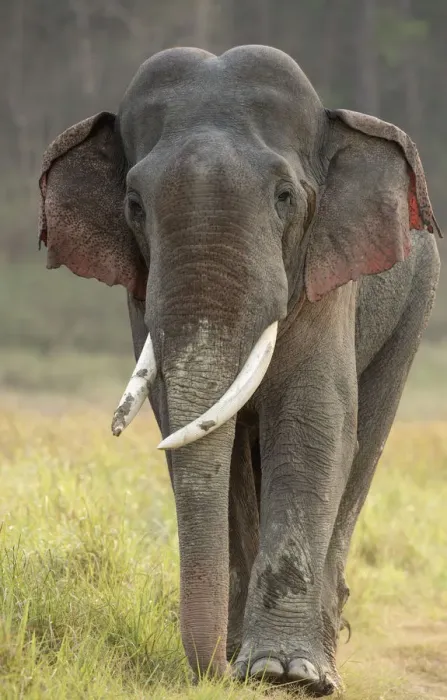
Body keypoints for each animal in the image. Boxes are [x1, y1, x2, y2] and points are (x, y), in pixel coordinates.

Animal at [38, 46, 441, 696]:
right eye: (134, 206)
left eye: (284, 196)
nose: (212, 670)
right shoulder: (141, 292)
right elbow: (189, 428)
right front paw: (247, 665)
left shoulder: (328, 273)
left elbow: (313, 422)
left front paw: (288, 673)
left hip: (415, 304)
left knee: (366, 440)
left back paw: (320, 660)